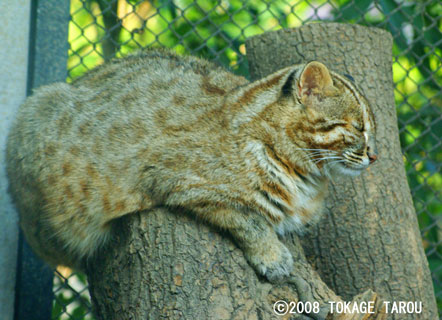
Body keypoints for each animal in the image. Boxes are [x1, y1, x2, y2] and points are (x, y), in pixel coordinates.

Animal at [5, 48, 376, 282]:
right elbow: (249, 218)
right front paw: (272, 255)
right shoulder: (178, 181)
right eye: (357, 128)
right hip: (36, 115)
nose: (374, 156)